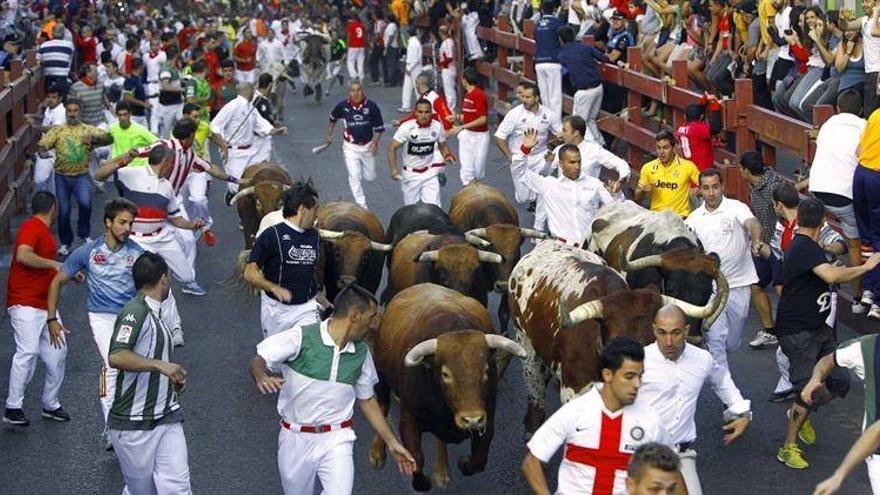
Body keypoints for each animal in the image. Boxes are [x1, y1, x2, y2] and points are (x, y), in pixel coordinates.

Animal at [368, 282, 524, 492]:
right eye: (445, 374)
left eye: (485, 371)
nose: (472, 419)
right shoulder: (409, 418)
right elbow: (417, 462)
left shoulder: (488, 420)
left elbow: (478, 461)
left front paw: (462, 463)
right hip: (382, 377)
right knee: (382, 406)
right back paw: (377, 453)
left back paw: (442, 472)